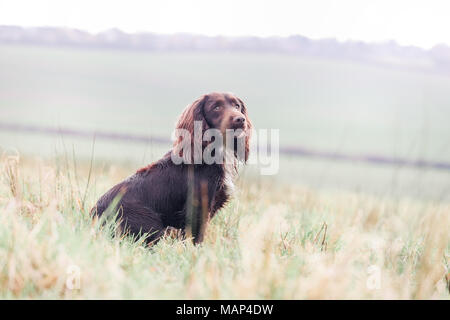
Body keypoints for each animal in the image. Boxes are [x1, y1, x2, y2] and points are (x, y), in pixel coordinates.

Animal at [90, 92, 253, 245]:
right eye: (216, 107)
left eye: (237, 106)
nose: (240, 119)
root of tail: (94, 216)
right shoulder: (197, 208)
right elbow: (195, 240)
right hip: (151, 225)